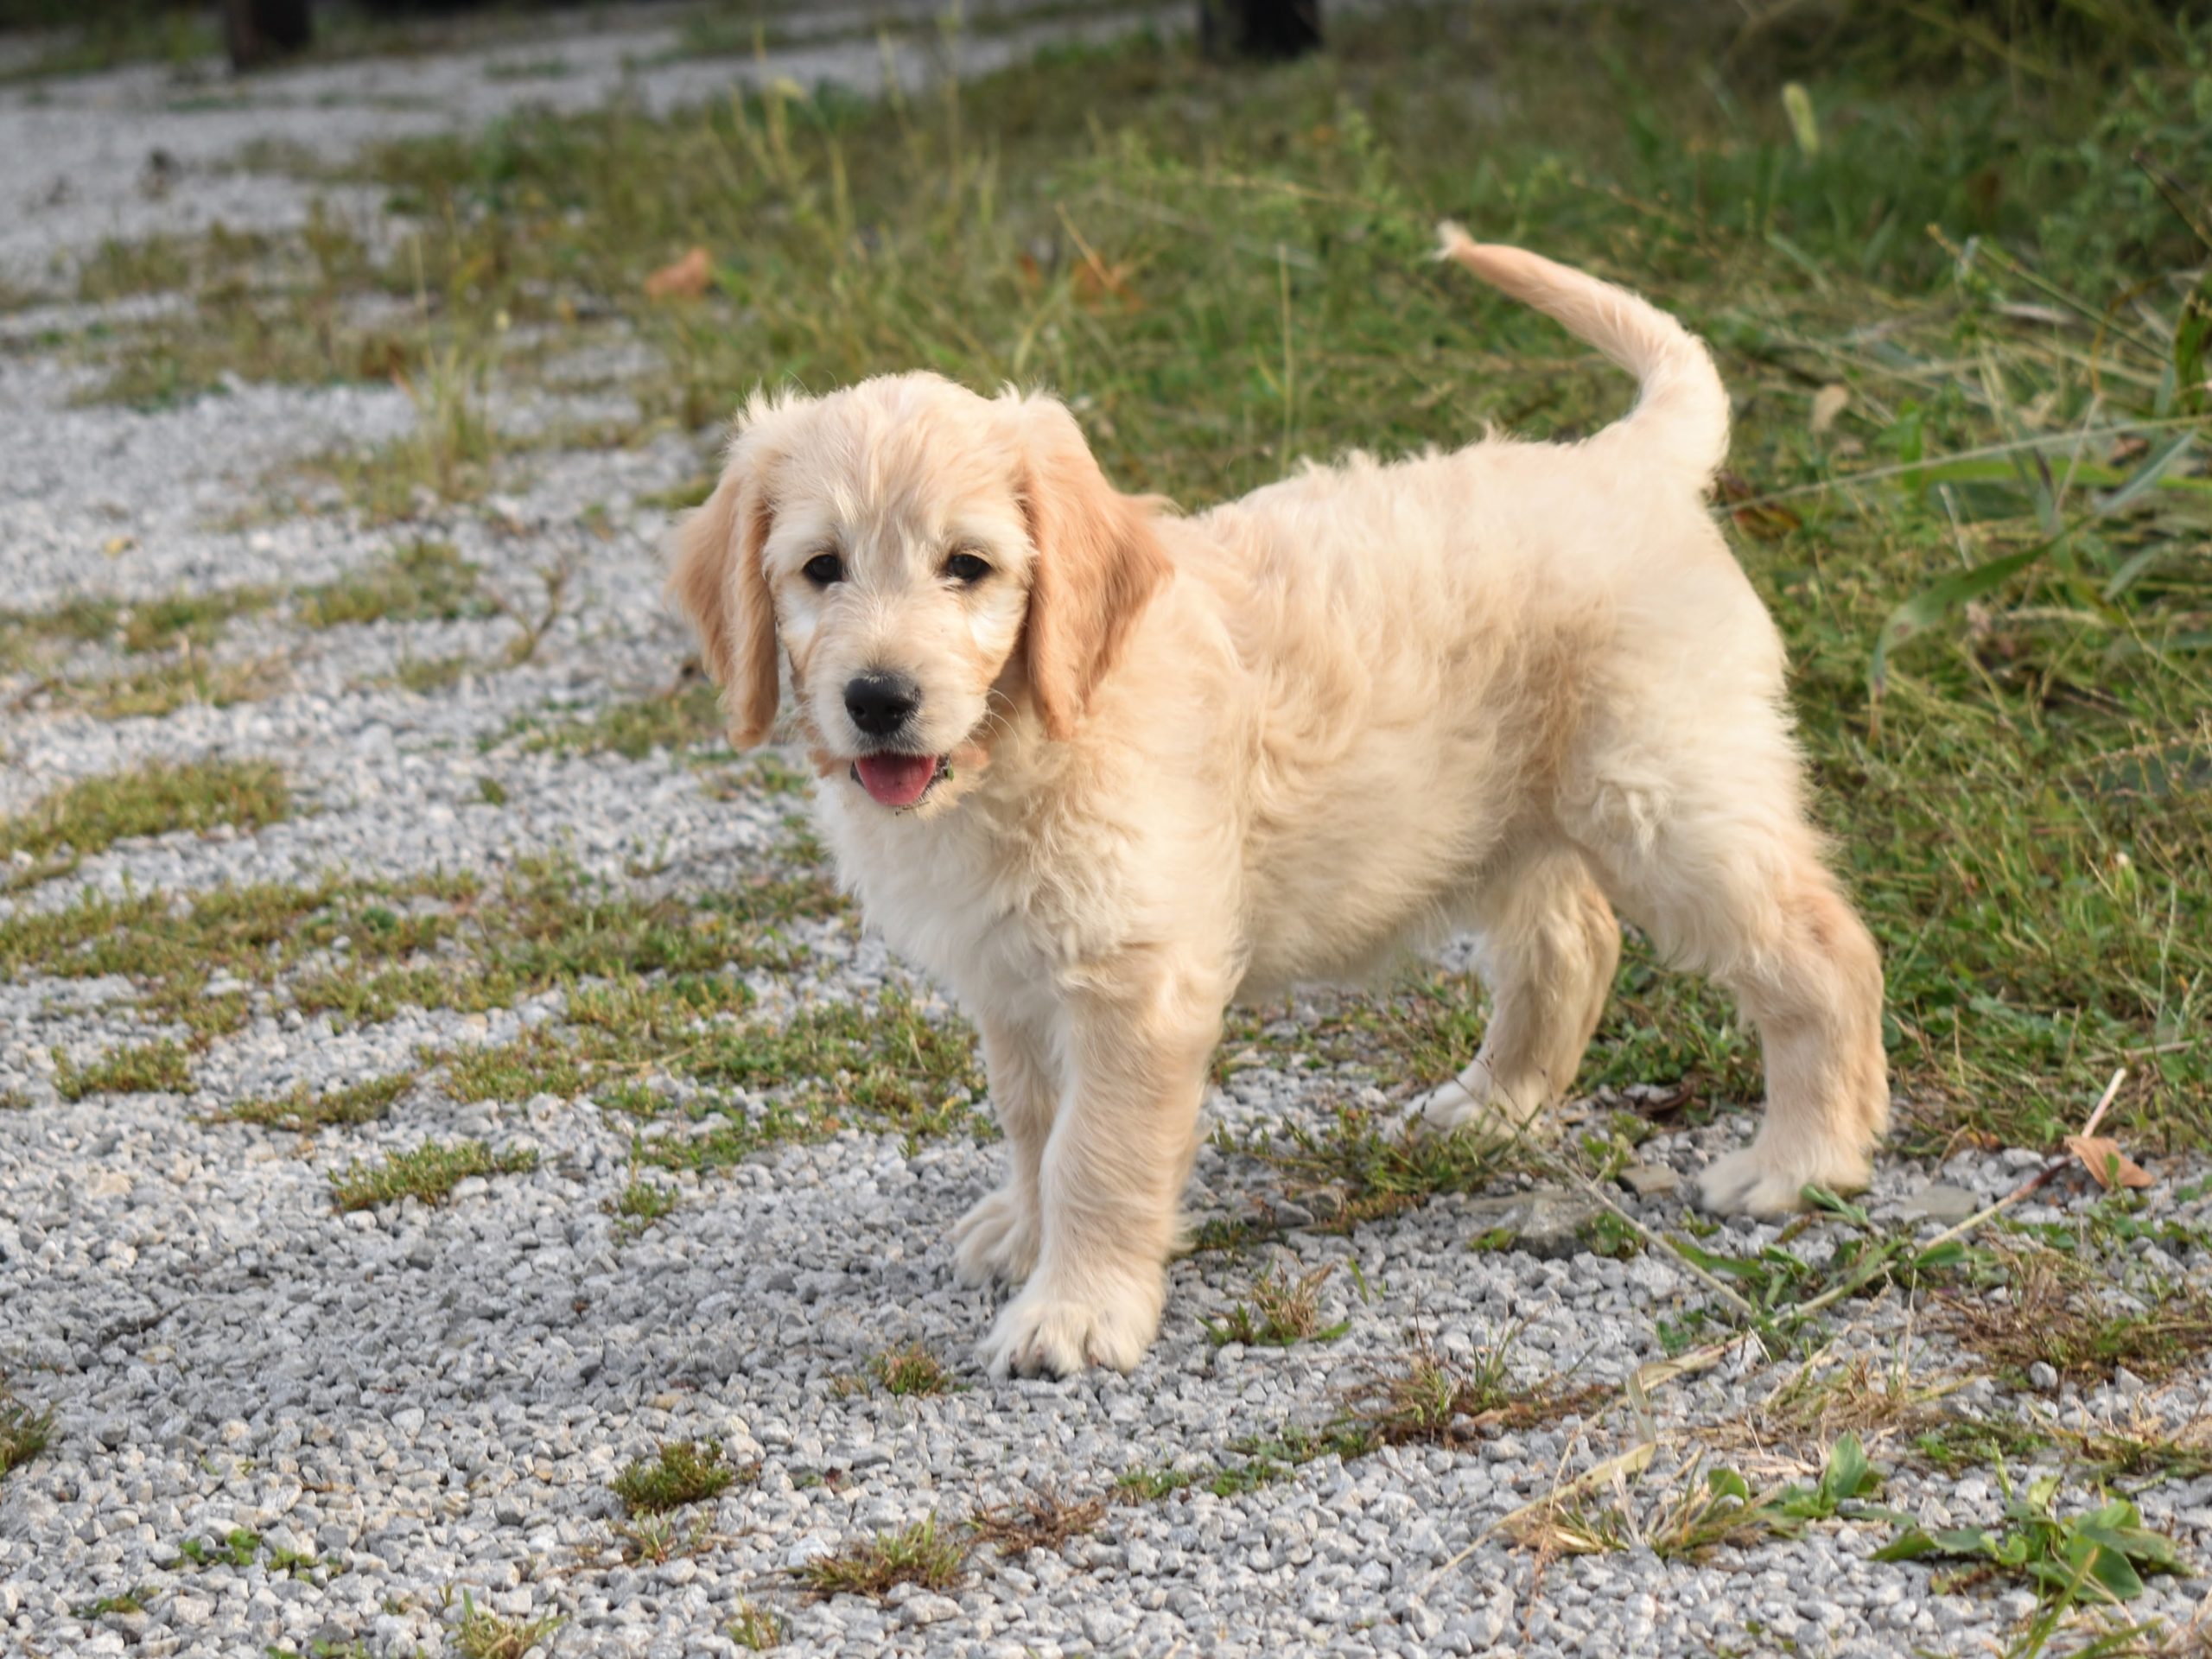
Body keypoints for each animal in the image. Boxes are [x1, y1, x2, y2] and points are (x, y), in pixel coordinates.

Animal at [672, 227, 1885, 1380]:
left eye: (967, 566)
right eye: (821, 569)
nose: (878, 700)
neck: (1034, 738)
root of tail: (1623, 461)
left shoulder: (1136, 979)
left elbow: (1095, 1151)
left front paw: (1076, 1311)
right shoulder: (1008, 976)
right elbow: (1030, 1120)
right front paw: (1024, 1232)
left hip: (1664, 792)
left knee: (1820, 951)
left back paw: (1802, 1161)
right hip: (1501, 808)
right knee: (1573, 938)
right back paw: (1496, 1103)